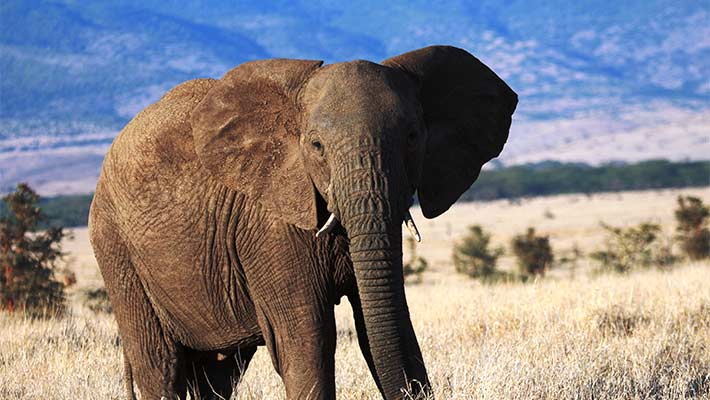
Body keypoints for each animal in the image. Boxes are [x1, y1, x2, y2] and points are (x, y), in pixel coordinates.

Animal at [88, 45, 517, 400]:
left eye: (413, 137)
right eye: (316, 146)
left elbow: (386, 326)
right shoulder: (270, 226)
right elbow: (307, 338)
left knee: (218, 375)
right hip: (116, 251)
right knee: (160, 365)